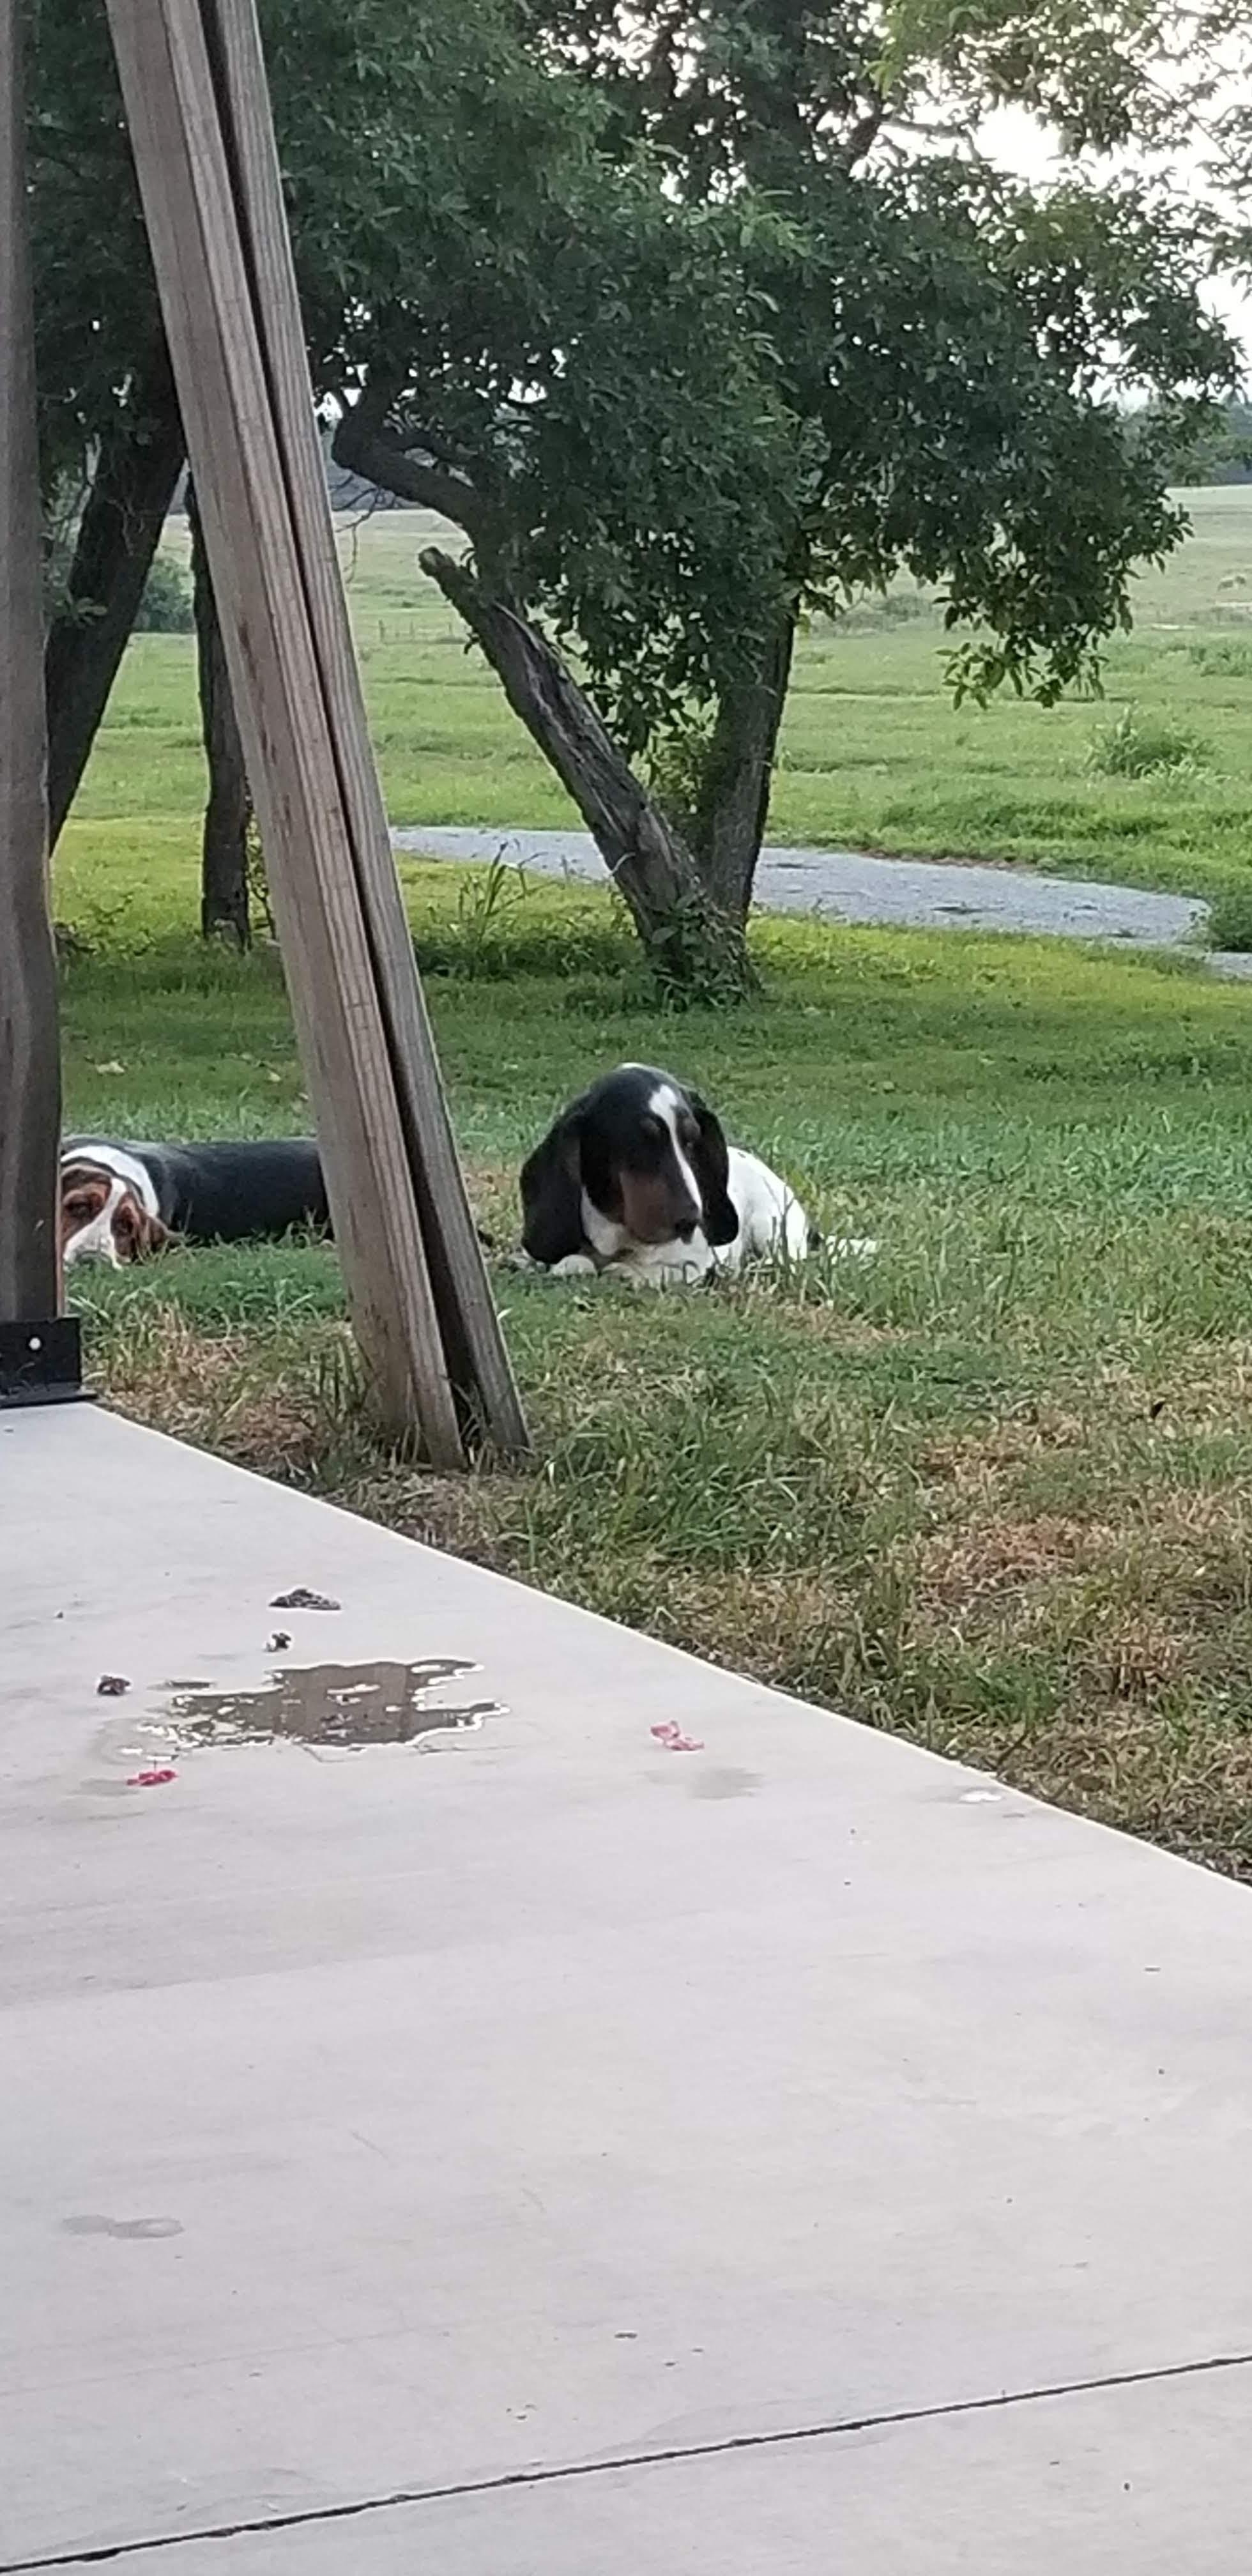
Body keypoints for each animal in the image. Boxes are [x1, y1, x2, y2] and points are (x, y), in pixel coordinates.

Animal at [518, 1064, 874, 1285]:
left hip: (774, 1233)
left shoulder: (698, 1266)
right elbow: (570, 1263)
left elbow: (663, 1273)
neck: (621, 1245)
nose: (691, 1220)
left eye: (692, 1141)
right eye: (639, 1143)